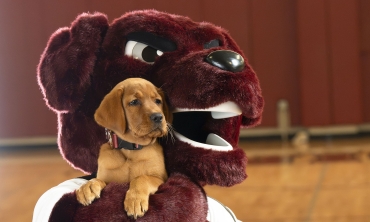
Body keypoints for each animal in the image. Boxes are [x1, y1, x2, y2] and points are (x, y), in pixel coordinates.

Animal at [77, 77, 172, 219]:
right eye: (134, 102)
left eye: (158, 101)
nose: (159, 117)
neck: (131, 149)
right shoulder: (108, 179)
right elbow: (98, 179)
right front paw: (87, 186)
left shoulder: (161, 178)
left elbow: (141, 178)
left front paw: (135, 200)